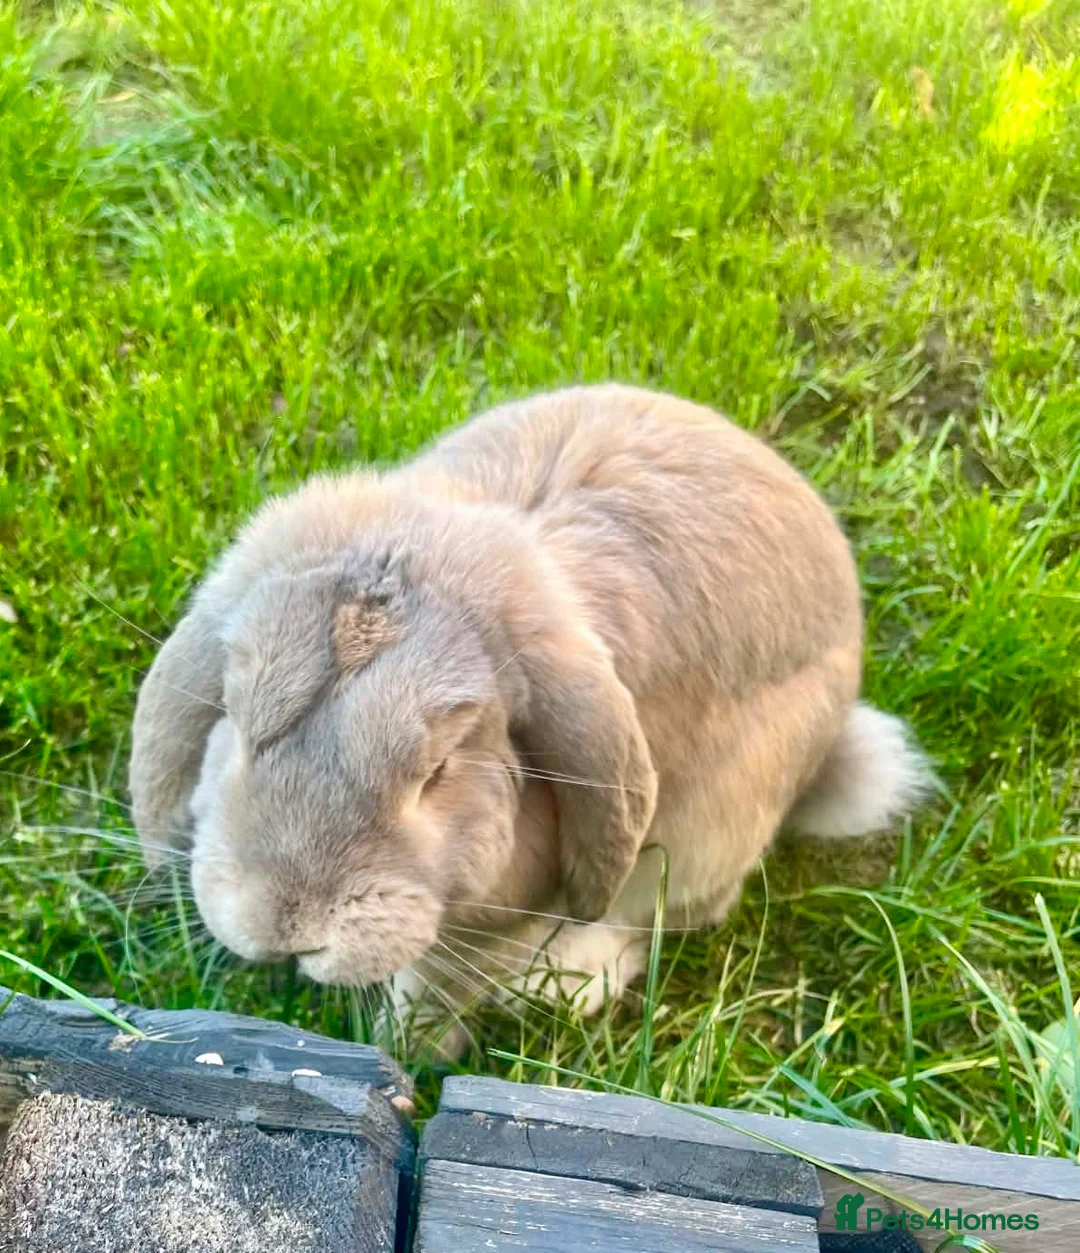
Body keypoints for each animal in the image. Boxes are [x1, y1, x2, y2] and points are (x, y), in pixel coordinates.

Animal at [128, 383, 932, 1048]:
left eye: (438, 770)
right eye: (236, 721)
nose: (285, 924)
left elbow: (433, 996)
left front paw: (407, 1058)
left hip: (710, 831)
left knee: (664, 914)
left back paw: (567, 982)